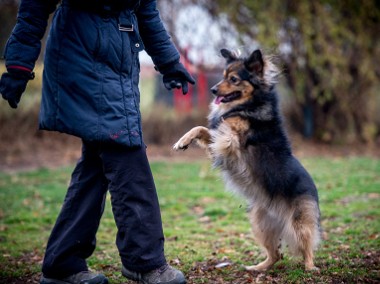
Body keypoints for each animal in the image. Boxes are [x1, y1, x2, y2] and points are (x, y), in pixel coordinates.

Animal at [173, 48, 320, 270]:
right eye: (223, 76)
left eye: (233, 79)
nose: (213, 90)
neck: (250, 104)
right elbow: (202, 129)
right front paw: (183, 141)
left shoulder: (231, 142)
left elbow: (222, 129)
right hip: (260, 223)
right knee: (275, 254)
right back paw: (257, 268)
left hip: (298, 223)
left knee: (306, 246)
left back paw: (310, 268)